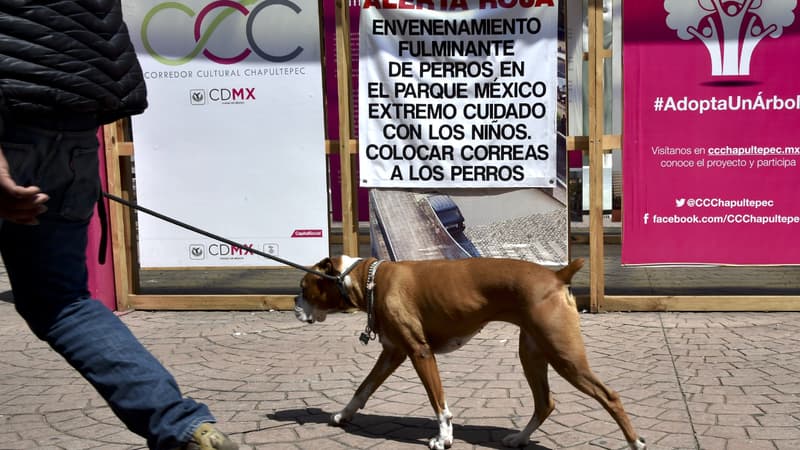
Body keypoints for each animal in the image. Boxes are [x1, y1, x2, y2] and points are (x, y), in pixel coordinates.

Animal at [294, 256, 644, 450]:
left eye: (302, 286)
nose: (295, 305)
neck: (369, 278)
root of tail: (557, 275)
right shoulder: (392, 354)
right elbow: (363, 388)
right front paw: (343, 415)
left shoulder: (419, 352)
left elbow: (438, 402)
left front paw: (444, 438)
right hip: (532, 354)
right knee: (545, 402)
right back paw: (519, 439)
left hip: (564, 356)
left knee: (609, 396)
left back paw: (634, 442)